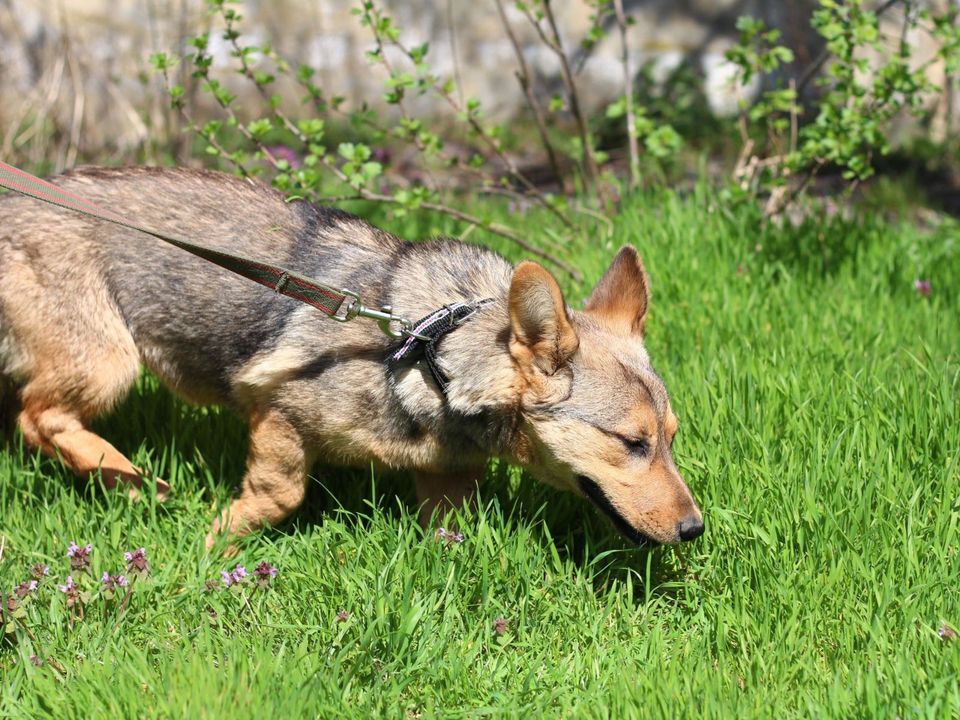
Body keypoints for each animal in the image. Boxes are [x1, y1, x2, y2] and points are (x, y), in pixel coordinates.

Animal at [0, 167, 704, 544]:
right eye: (631, 443)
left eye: (669, 439)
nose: (696, 530)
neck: (429, 349)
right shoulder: (276, 411)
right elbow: (277, 495)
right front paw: (215, 545)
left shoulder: (447, 478)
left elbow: (448, 533)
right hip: (108, 361)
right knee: (37, 418)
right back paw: (126, 475)